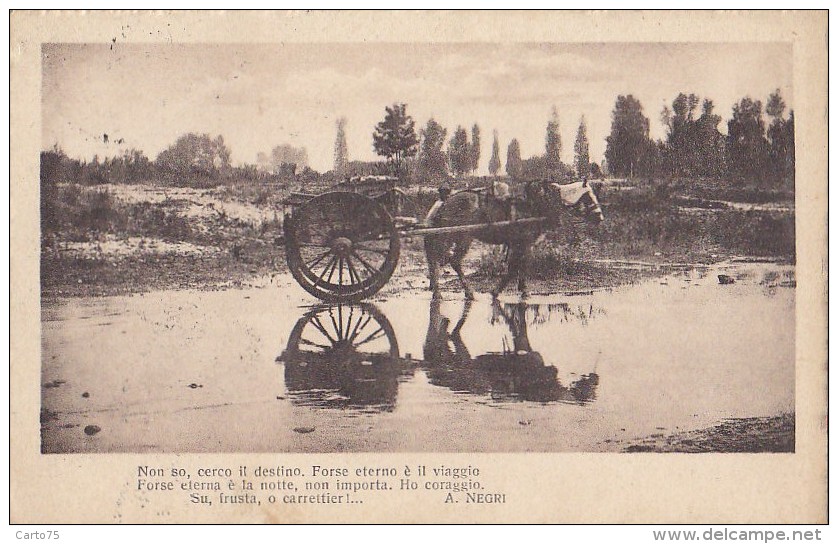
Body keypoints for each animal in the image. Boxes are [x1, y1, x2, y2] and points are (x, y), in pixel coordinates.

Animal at [426, 180, 604, 300]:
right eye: (588, 197)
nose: (600, 217)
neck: (540, 203)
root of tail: (445, 203)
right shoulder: (524, 242)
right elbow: (516, 267)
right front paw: (503, 291)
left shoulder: (520, 243)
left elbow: (518, 266)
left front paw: (518, 289)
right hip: (463, 237)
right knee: (451, 261)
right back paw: (464, 292)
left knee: (440, 260)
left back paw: (439, 291)